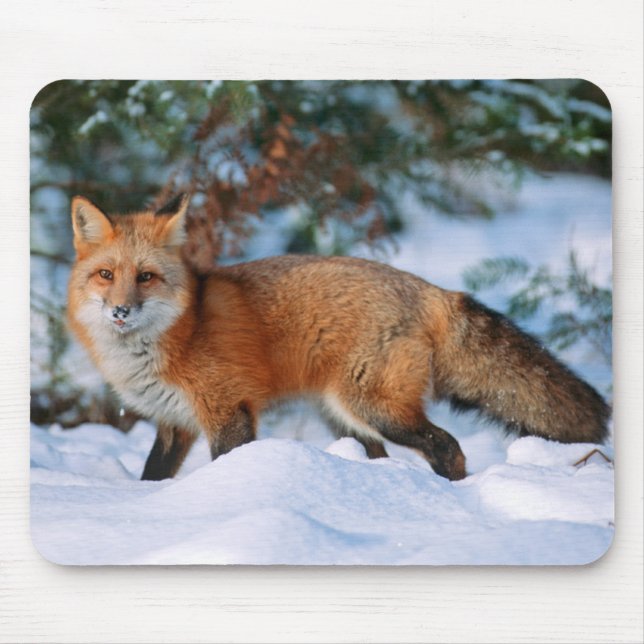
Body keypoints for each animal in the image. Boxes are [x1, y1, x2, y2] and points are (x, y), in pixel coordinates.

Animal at [67, 193, 610, 482]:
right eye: (106, 275)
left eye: (146, 277)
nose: (120, 311)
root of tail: (429, 288)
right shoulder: (174, 424)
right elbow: (151, 476)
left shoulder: (228, 411)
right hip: (343, 416)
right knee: (384, 455)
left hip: (374, 407)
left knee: (447, 446)